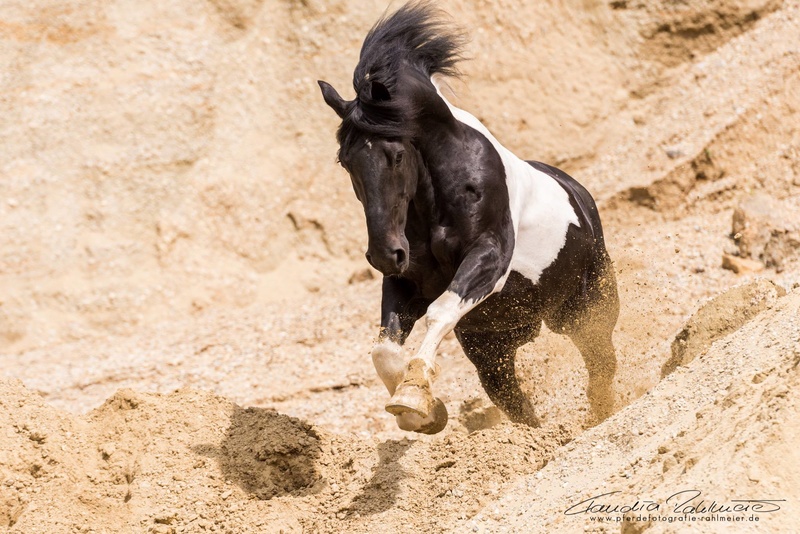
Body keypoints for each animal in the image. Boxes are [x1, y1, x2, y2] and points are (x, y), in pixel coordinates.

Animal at [318, 1, 620, 436]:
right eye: (346, 162)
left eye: (396, 155)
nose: (383, 254)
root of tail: (580, 196)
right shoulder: (406, 281)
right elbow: (383, 348)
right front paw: (423, 412)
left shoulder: (488, 259)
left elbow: (440, 311)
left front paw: (413, 397)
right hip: (492, 345)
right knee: (515, 402)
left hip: (585, 310)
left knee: (600, 363)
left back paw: (599, 415)